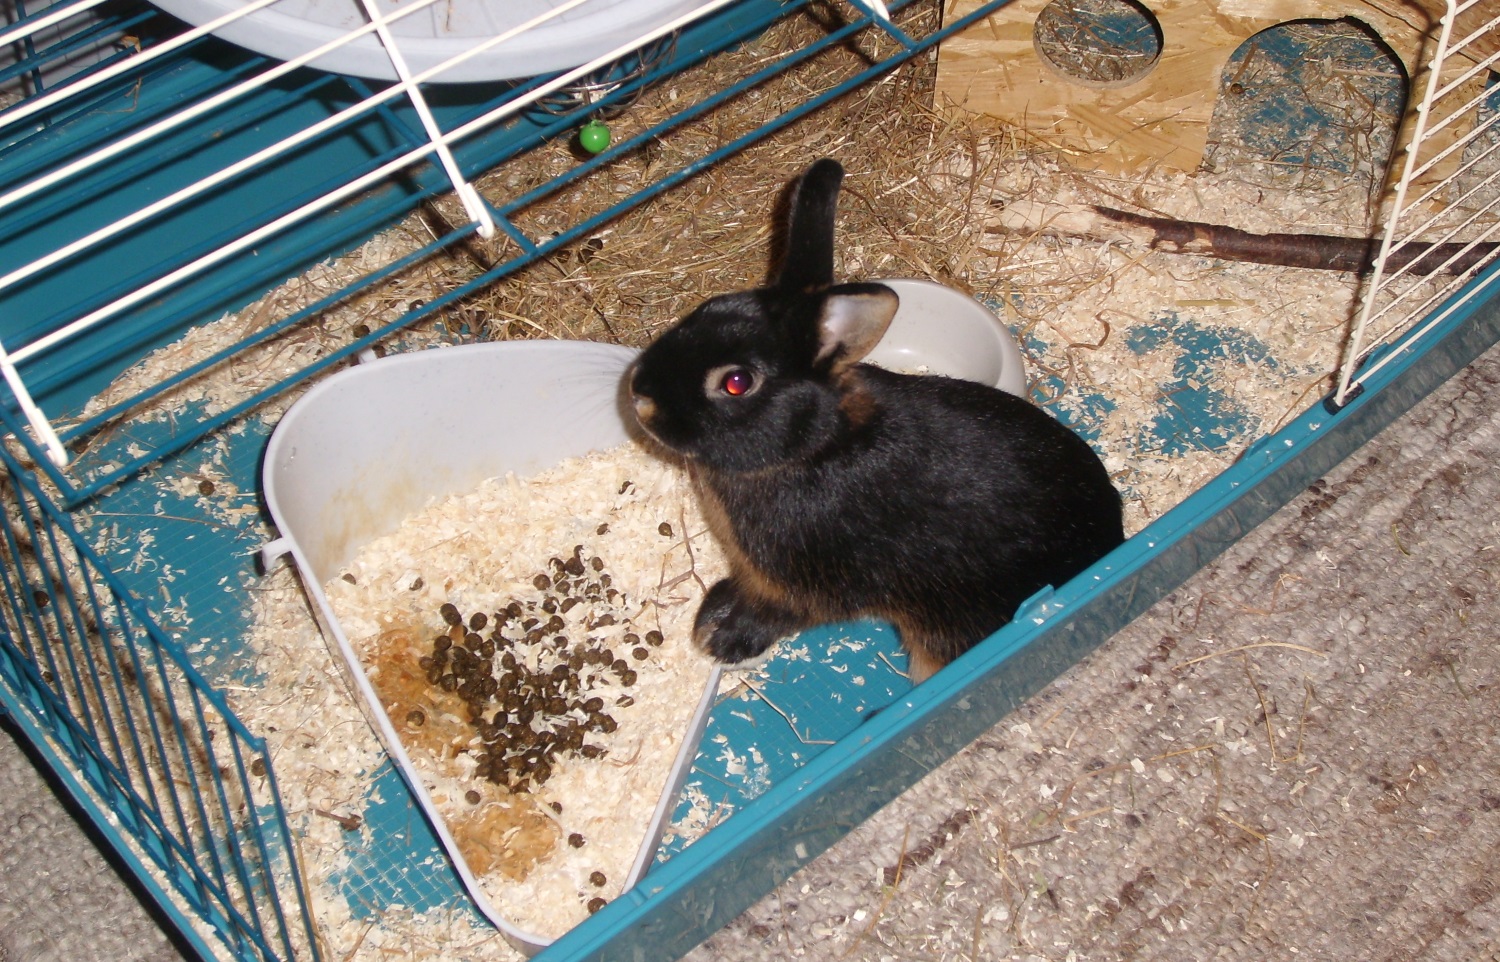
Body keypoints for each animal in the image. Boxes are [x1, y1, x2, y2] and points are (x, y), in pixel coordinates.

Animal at [626, 158, 1124, 683]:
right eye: (707, 308)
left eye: (737, 382)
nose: (640, 396)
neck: (809, 448)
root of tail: (1111, 542)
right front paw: (712, 612)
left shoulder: (805, 588)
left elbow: (776, 614)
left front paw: (723, 641)